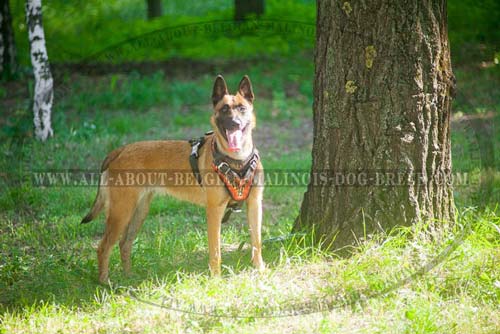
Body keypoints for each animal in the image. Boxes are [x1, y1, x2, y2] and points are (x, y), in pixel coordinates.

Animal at [81, 75, 266, 282]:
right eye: (224, 109)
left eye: (242, 108)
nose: (234, 123)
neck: (237, 161)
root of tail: (120, 150)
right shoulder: (214, 211)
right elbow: (215, 251)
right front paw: (216, 279)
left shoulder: (254, 205)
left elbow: (257, 242)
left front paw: (260, 269)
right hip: (121, 213)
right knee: (103, 247)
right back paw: (105, 282)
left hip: (138, 211)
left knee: (124, 243)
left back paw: (129, 277)